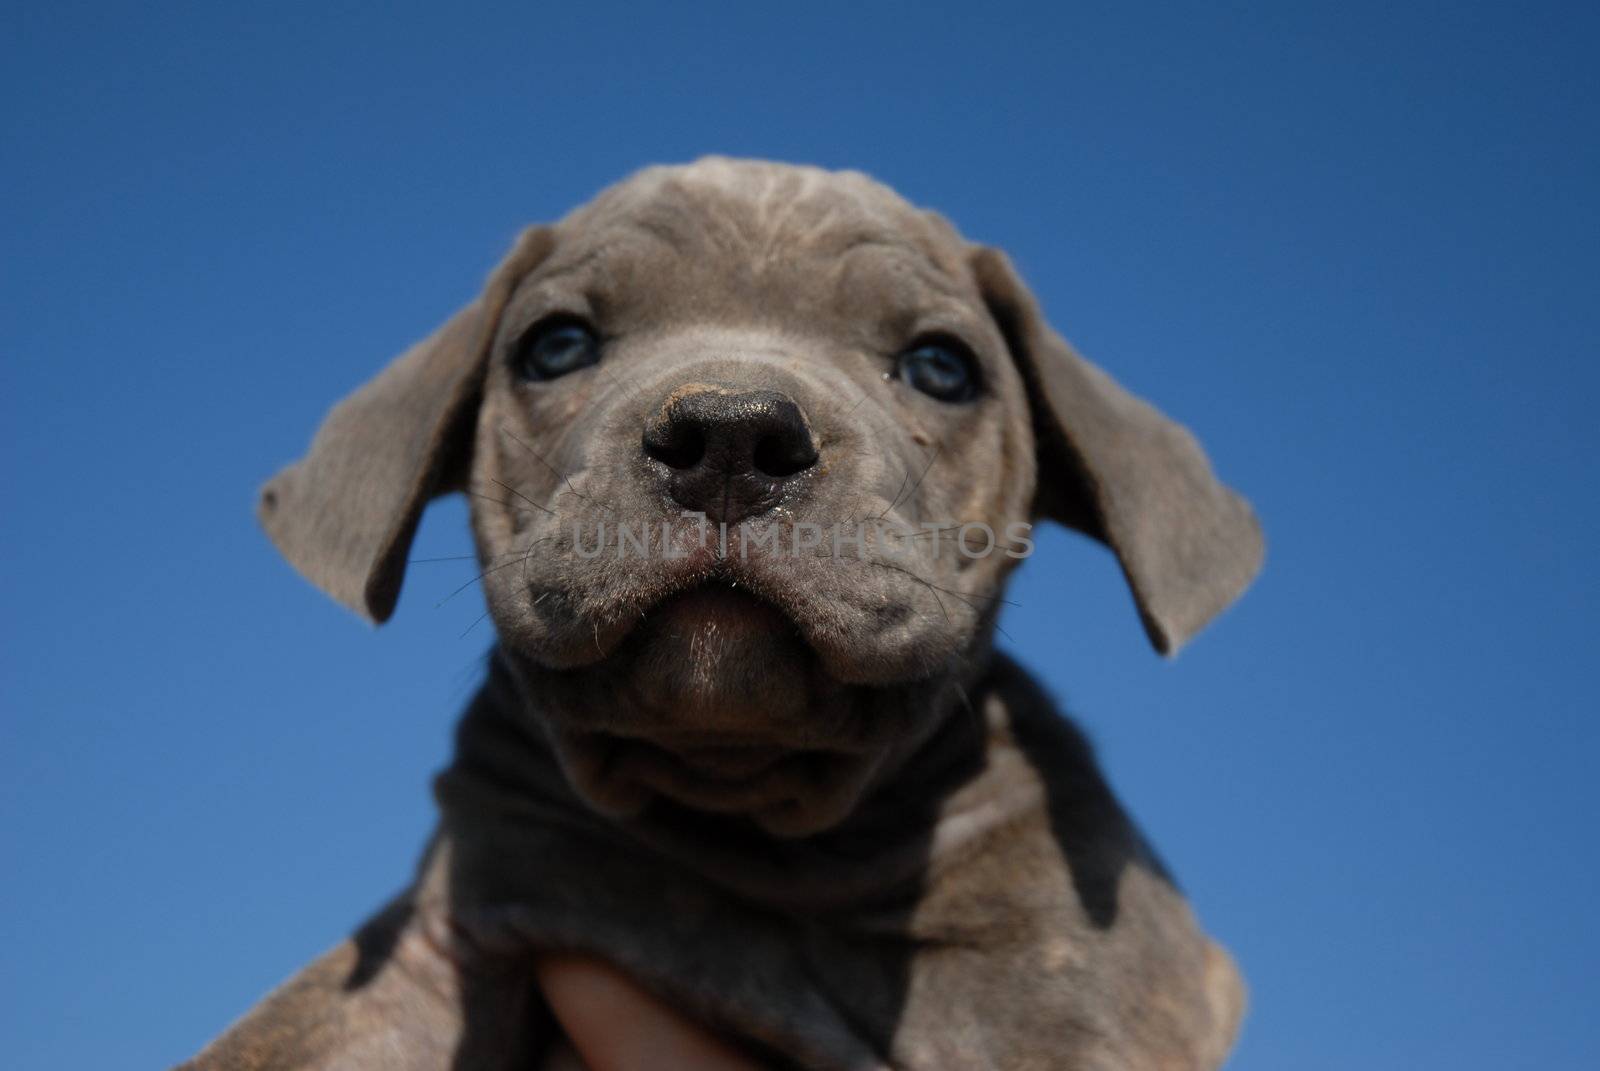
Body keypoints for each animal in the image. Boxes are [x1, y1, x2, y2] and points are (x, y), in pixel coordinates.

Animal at [184, 154, 1260, 1062]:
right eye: (555, 344)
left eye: (941, 367)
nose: (732, 437)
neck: (744, 825)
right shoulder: (434, 947)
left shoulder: (1071, 1001)